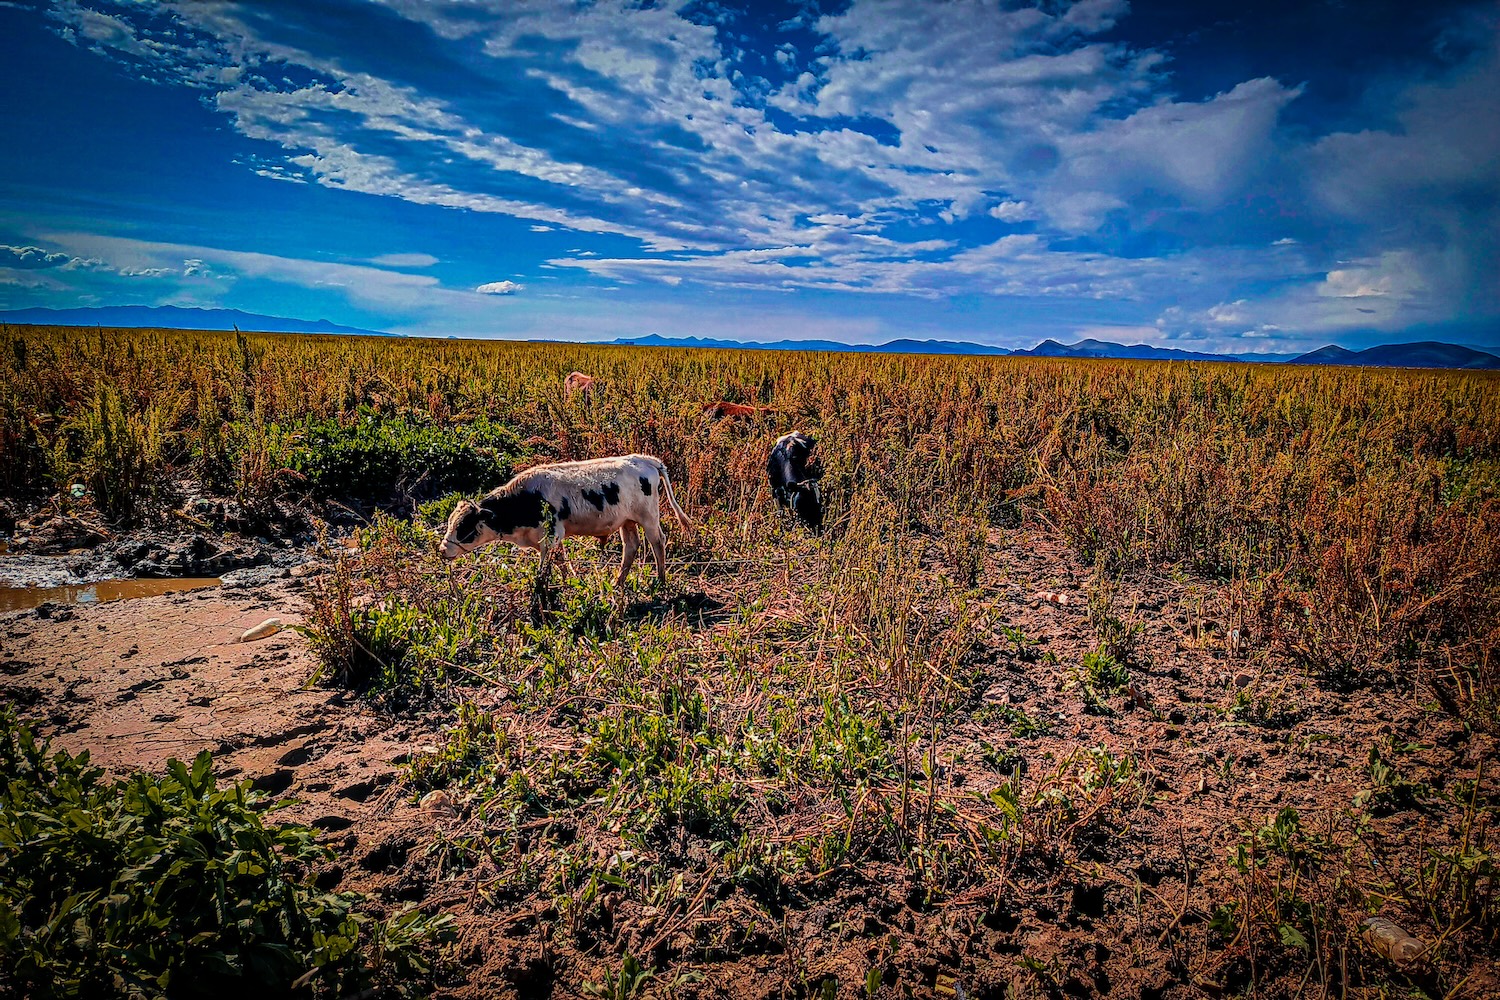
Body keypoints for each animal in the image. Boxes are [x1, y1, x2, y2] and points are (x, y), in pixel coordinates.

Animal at [438, 455, 687, 590]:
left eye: (464, 527)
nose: (442, 550)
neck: (526, 499)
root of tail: (645, 459)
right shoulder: (551, 539)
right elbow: (560, 562)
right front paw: (570, 582)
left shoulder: (550, 536)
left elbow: (544, 569)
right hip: (628, 521)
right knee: (631, 547)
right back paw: (618, 583)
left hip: (649, 517)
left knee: (657, 542)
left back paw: (660, 581)